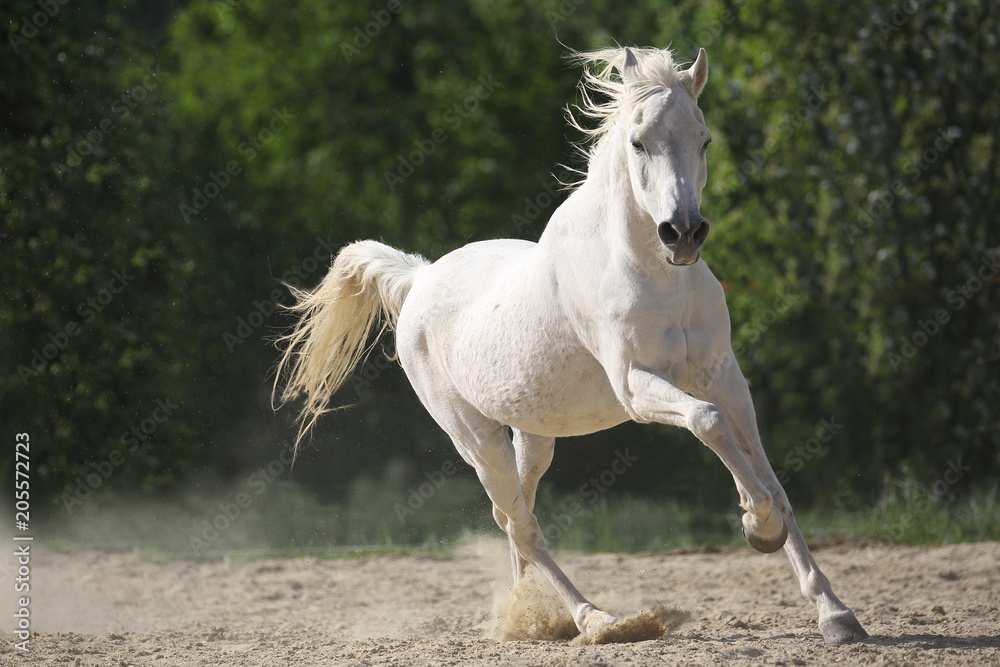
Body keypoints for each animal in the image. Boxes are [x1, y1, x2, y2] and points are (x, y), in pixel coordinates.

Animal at [276, 45, 868, 648]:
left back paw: (529, 617)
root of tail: (418, 278)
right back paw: (598, 620)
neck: (656, 273)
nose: (683, 233)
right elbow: (708, 423)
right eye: (638, 142)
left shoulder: (723, 375)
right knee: (523, 525)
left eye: (703, 139)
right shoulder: (637, 385)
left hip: (534, 435)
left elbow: (768, 474)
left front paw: (835, 613)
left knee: (515, 516)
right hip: (475, 437)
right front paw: (757, 525)